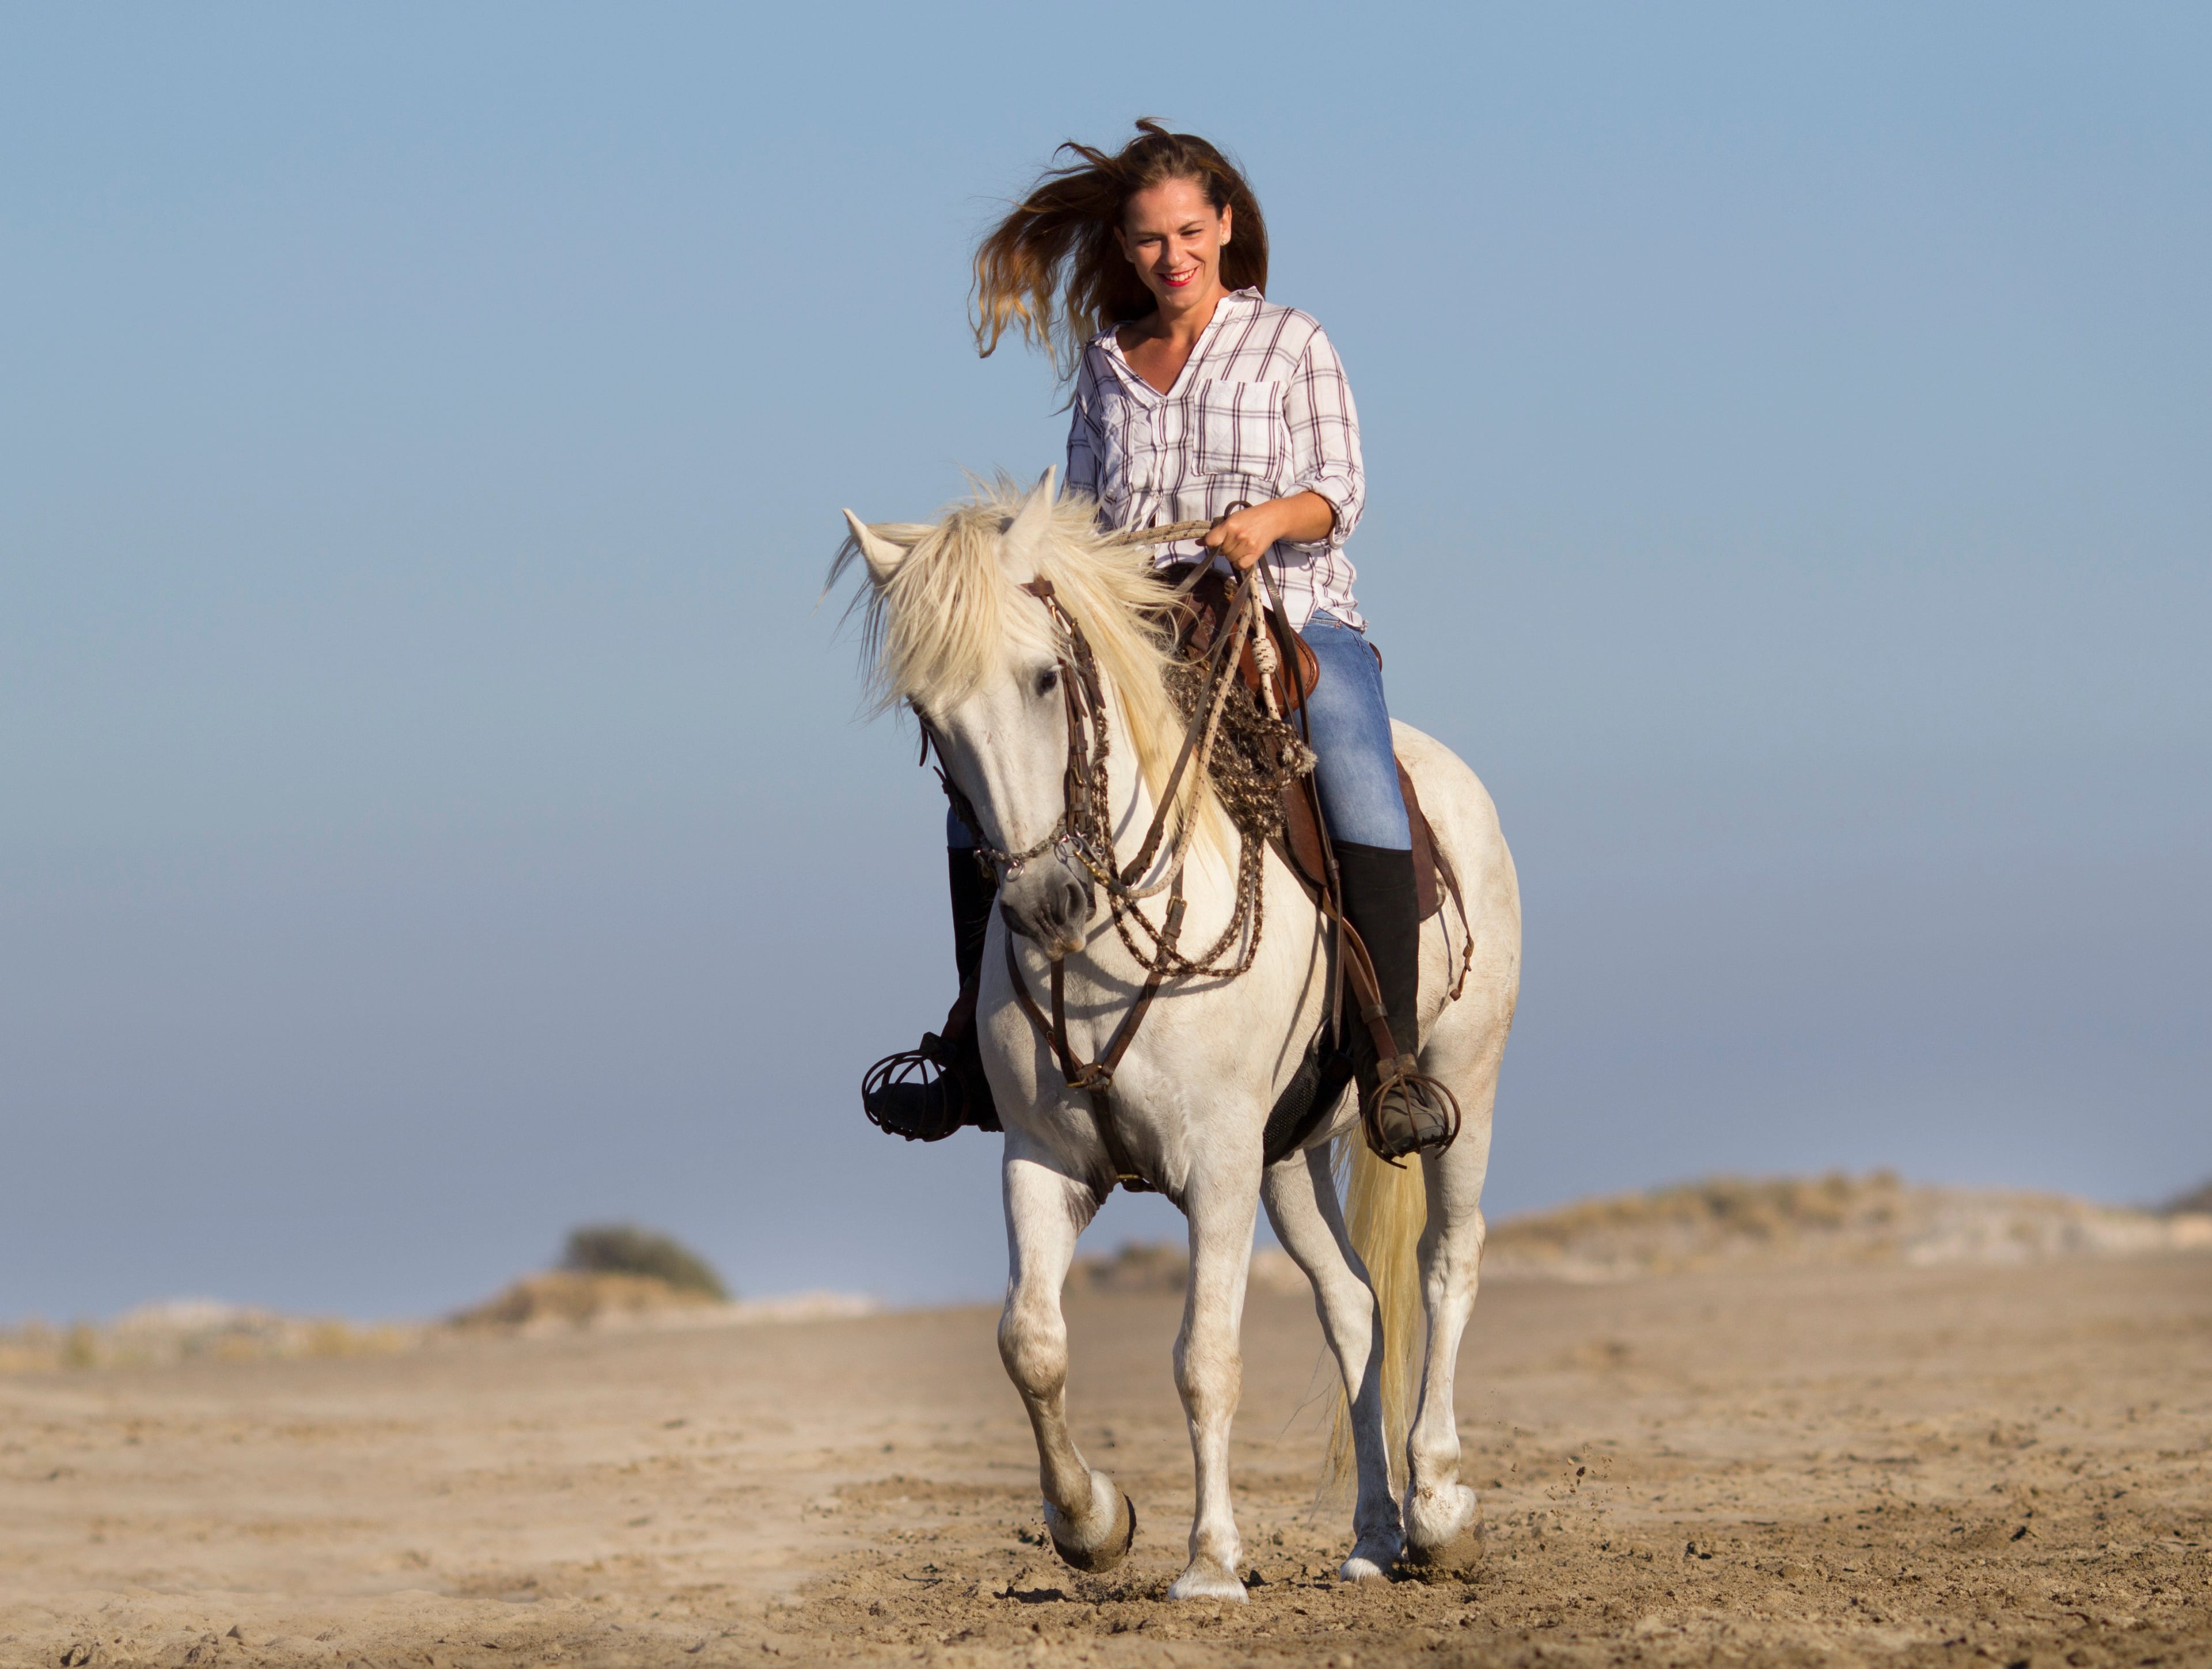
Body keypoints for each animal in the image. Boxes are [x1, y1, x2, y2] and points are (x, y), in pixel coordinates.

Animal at [833, 471, 1520, 1600]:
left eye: (1044, 679)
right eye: (931, 716)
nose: (1049, 901)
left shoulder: (1217, 1166)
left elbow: (1205, 1358)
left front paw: (1208, 1562)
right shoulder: (1046, 1159)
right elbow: (1031, 1341)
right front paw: (1092, 1522)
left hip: (1464, 1084)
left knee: (1445, 1263)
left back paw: (1438, 1506)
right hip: (1290, 1158)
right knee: (1355, 1305)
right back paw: (1374, 1535)